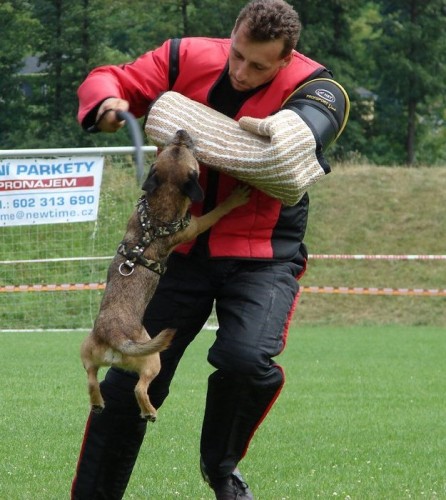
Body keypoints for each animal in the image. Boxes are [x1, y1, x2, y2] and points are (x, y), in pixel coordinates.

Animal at [81, 130, 251, 422]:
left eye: (174, 145)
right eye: (184, 148)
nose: (182, 132)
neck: (158, 209)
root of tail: (113, 336)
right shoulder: (193, 226)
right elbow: (214, 214)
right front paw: (234, 199)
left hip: (87, 352)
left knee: (92, 379)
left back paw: (99, 403)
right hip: (153, 360)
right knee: (139, 388)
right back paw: (149, 412)